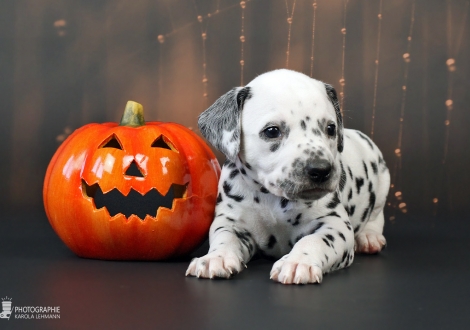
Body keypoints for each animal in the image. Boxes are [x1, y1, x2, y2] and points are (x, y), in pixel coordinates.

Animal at [185, 69, 392, 284]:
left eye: (331, 128)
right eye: (272, 131)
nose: (321, 169)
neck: (271, 198)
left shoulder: (334, 224)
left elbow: (315, 240)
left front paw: (299, 261)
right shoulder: (230, 220)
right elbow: (224, 237)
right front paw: (216, 257)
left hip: (382, 182)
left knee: (376, 215)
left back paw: (369, 237)